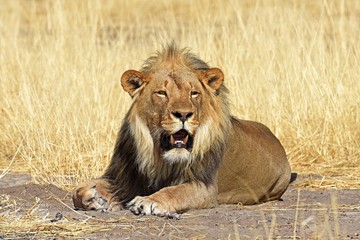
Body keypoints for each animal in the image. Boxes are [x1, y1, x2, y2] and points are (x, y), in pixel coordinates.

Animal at [71, 42, 292, 218]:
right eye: (162, 93)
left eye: (193, 93)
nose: (184, 114)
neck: (159, 158)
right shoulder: (124, 176)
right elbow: (77, 191)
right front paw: (94, 198)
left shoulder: (205, 187)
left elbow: (175, 192)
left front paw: (149, 201)